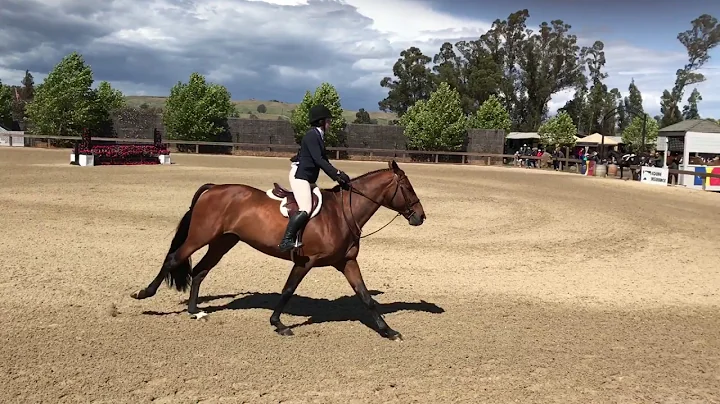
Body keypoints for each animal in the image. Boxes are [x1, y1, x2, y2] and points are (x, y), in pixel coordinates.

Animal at [129, 161, 424, 340]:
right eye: (408, 188)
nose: (420, 217)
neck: (341, 213)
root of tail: (213, 188)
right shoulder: (305, 261)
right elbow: (288, 290)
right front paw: (278, 324)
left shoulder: (347, 262)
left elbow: (366, 297)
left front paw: (388, 331)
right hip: (201, 236)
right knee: (173, 259)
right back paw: (144, 293)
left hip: (223, 242)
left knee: (200, 271)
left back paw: (194, 310)